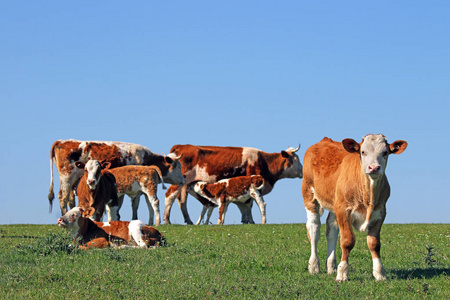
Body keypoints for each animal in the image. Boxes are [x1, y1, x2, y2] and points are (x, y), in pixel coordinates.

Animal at [48, 139, 182, 214]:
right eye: (178, 167)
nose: (183, 180)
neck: (144, 157)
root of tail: (61, 141)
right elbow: (134, 204)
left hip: (73, 180)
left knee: (70, 198)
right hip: (67, 177)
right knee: (62, 197)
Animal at [163, 144, 302, 224]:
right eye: (296, 159)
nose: (302, 171)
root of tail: (181, 146)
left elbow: (243, 204)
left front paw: (245, 220)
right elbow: (249, 204)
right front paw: (250, 220)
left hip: (184, 184)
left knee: (181, 199)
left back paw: (188, 220)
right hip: (178, 180)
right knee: (170, 195)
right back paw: (167, 220)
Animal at [302, 134, 408, 282]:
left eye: (385, 152)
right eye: (363, 152)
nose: (374, 168)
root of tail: (323, 140)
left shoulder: (380, 213)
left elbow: (374, 244)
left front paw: (379, 273)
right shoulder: (343, 210)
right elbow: (347, 241)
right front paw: (342, 272)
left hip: (335, 203)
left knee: (331, 230)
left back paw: (331, 266)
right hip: (309, 195)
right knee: (314, 229)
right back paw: (314, 266)